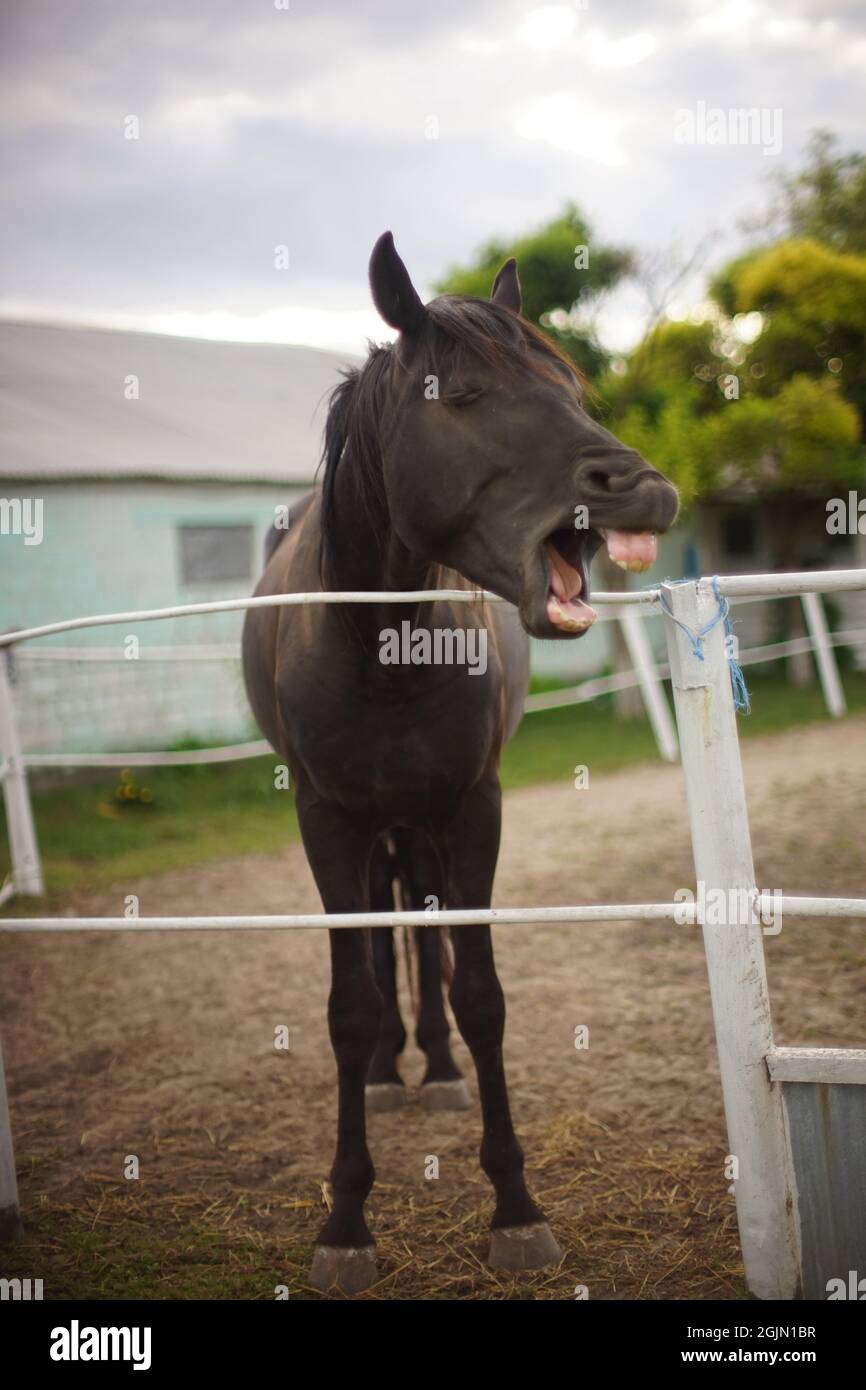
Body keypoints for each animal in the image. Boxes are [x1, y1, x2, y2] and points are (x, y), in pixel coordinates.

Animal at [242, 232, 679, 1293]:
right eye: (468, 395)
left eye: (568, 385)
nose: (643, 489)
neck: (381, 649)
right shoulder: (326, 822)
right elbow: (349, 1007)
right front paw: (345, 1222)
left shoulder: (472, 810)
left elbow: (479, 995)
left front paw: (517, 1209)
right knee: (391, 933)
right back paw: (393, 1070)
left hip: (422, 825)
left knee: (426, 929)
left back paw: (432, 1069)